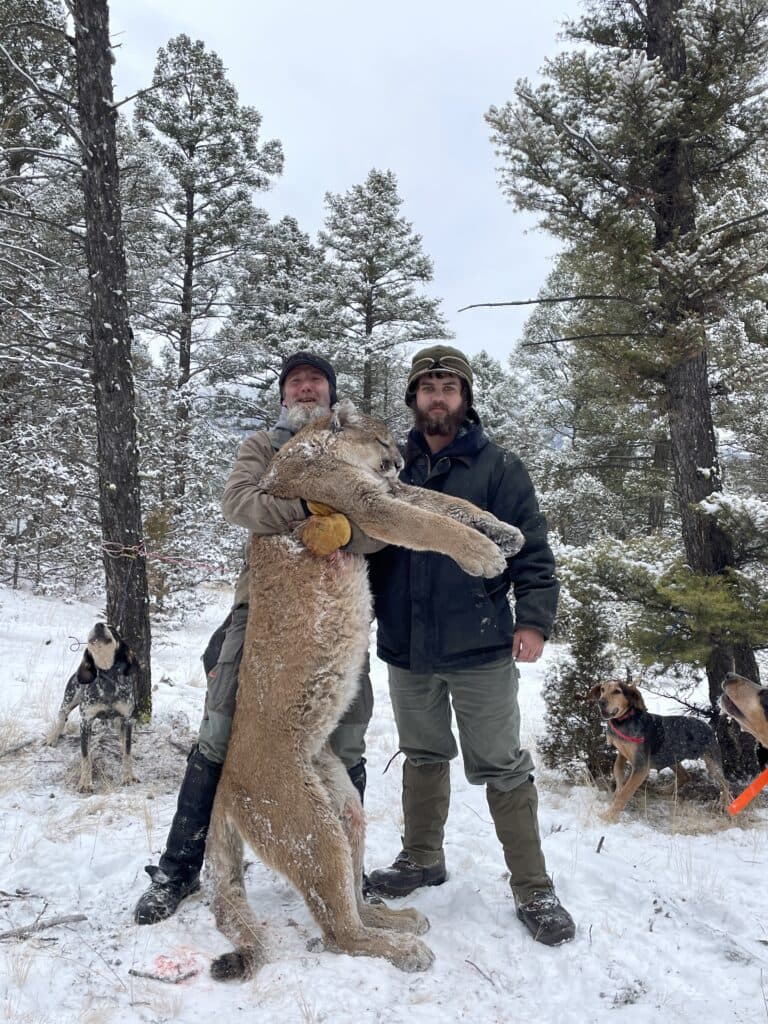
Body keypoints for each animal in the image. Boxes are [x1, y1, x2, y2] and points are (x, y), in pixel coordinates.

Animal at [206, 400, 524, 980]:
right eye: (380, 439)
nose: (398, 461)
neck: (312, 447)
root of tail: (224, 786)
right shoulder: (365, 503)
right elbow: (431, 523)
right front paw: (483, 555)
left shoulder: (389, 492)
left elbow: (452, 502)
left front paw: (505, 533)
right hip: (309, 828)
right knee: (338, 931)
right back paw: (401, 948)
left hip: (344, 806)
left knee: (350, 898)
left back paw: (395, 920)